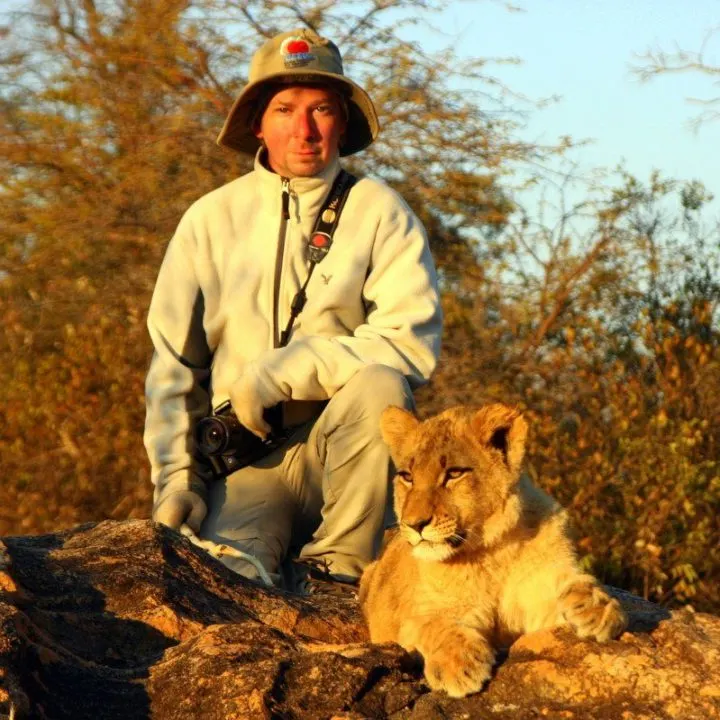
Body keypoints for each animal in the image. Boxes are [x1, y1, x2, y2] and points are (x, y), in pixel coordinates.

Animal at [359, 403, 628, 698]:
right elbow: (433, 624)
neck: (490, 551)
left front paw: (596, 607)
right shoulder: (414, 618)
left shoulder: (538, 591)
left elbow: (573, 585)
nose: (414, 524)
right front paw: (457, 666)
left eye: (454, 474)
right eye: (407, 477)